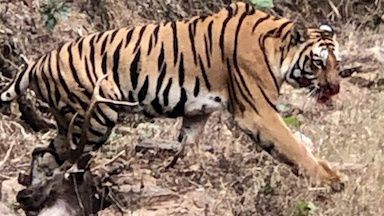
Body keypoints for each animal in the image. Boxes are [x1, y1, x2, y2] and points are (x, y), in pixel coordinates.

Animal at [0, 0, 344, 192]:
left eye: (337, 63)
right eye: (318, 63)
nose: (335, 88)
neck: (275, 47)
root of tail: (37, 62)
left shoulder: (197, 111)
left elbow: (185, 144)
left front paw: (176, 171)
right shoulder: (258, 111)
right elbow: (293, 145)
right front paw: (328, 180)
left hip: (69, 120)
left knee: (42, 154)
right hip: (95, 117)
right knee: (66, 159)